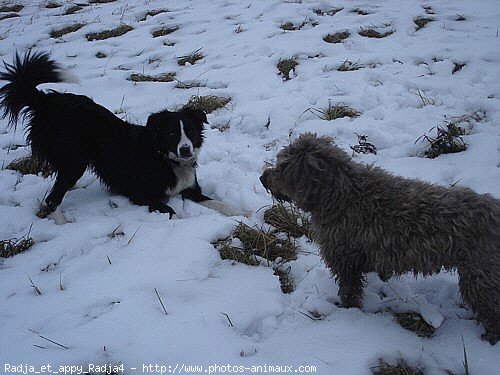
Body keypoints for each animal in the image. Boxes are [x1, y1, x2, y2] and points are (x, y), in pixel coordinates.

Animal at [0, 51, 246, 222]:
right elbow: (170, 210)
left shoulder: (191, 189)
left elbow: (219, 203)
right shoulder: (141, 195)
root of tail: (46, 101)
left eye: (191, 132)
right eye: (172, 133)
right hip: (74, 160)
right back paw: (63, 223)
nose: (185, 150)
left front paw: (243, 212)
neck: (164, 157)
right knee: (53, 198)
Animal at [260, 134, 500, 346]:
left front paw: (347, 312)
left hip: (479, 279)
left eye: (283, 167)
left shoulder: (345, 261)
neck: (341, 195)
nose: (262, 177)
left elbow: (349, 292)